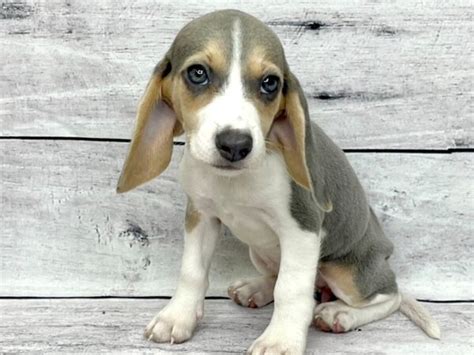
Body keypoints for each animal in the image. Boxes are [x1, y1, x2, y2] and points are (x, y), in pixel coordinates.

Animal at [117, 9, 440, 355]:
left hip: (346, 272)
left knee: (390, 296)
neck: (235, 181)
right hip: (260, 252)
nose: (235, 145)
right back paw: (256, 289)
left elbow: (291, 290)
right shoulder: (201, 216)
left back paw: (340, 313)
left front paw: (280, 340)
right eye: (198, 73)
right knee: (276, 275)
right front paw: (178, 317)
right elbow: (192, 272)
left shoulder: (302, 230)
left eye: (270, 83)